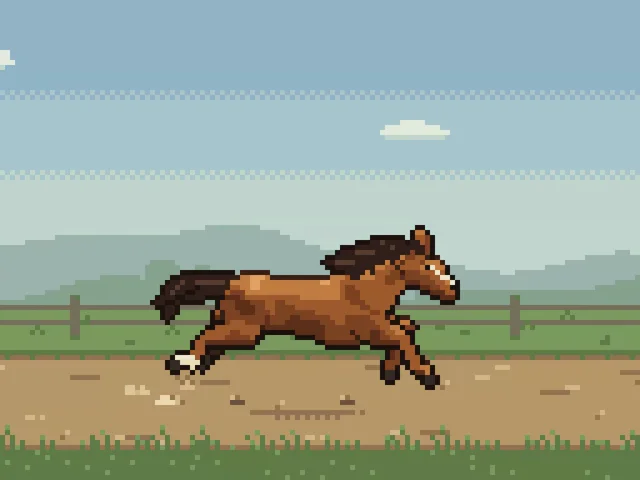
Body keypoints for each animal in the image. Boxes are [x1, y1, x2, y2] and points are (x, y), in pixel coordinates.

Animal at [151, 225, 460, 390]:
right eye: (429, 267)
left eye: (440, 264)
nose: (453, 291)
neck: (365, 291)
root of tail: (232, 280)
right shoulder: (371, 330)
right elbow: (402, 335)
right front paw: (428, 375)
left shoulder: (383, 323)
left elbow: (407, 327)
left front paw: (390, 371)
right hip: (245, 331)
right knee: (205, 339)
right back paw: (183, 362)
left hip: (229, 324)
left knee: (208, 340)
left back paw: (191, 365)